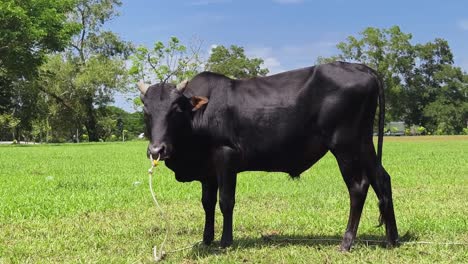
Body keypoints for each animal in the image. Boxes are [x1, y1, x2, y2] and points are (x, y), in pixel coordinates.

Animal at [139, 60, 398, 251]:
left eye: (176, 108)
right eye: (146, 110)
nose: (157, 150)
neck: (198, 117)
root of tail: (362, 68)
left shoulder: (226, 159)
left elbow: (225, 201)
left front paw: (225, 241)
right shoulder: (208, 171)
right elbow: (207, 203)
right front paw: (206, 239)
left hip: (346, 146)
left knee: (358, 186)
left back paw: (346, 242)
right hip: (364, 143)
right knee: (382, 180)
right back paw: (392, 239)